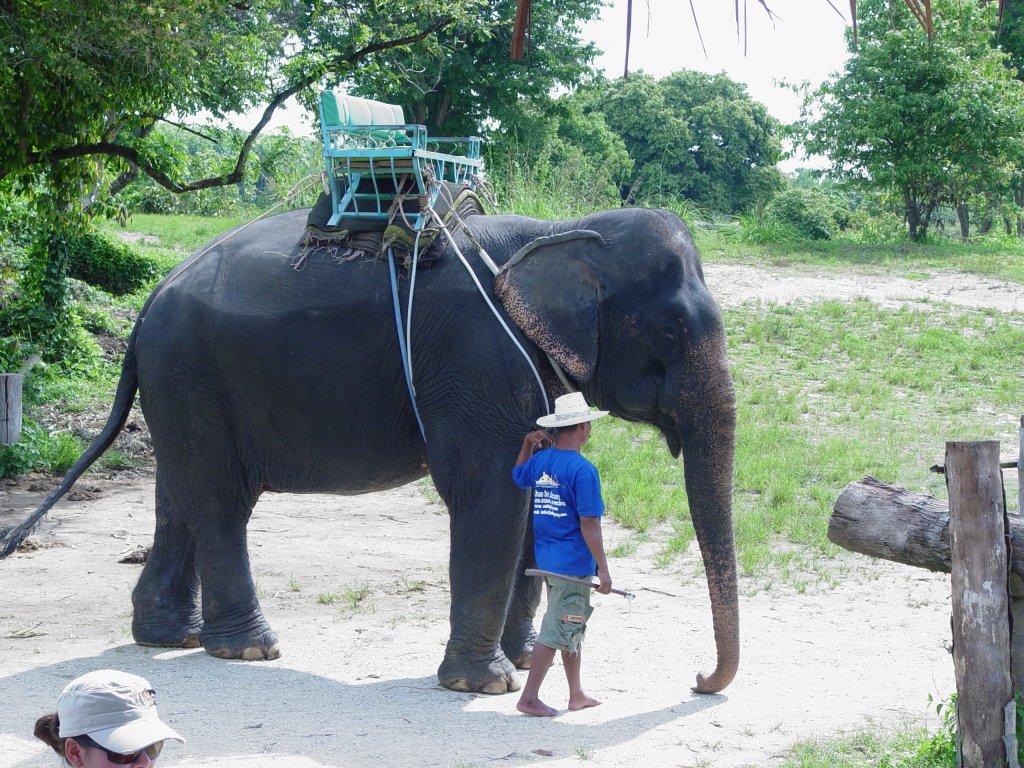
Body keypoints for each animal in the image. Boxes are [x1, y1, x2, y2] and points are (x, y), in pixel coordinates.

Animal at [0, 204, 737, 696]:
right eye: (671, 330)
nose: (700, 678)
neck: (556, 231)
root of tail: (148, 300)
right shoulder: (474, 362)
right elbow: (489, 493)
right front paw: (486, 686)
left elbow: (528, 488)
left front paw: (527, 662)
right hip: (191, 373)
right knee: (220, 501)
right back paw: (248, 651)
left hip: (178, 385)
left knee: (178, 493)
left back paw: (168, 638)